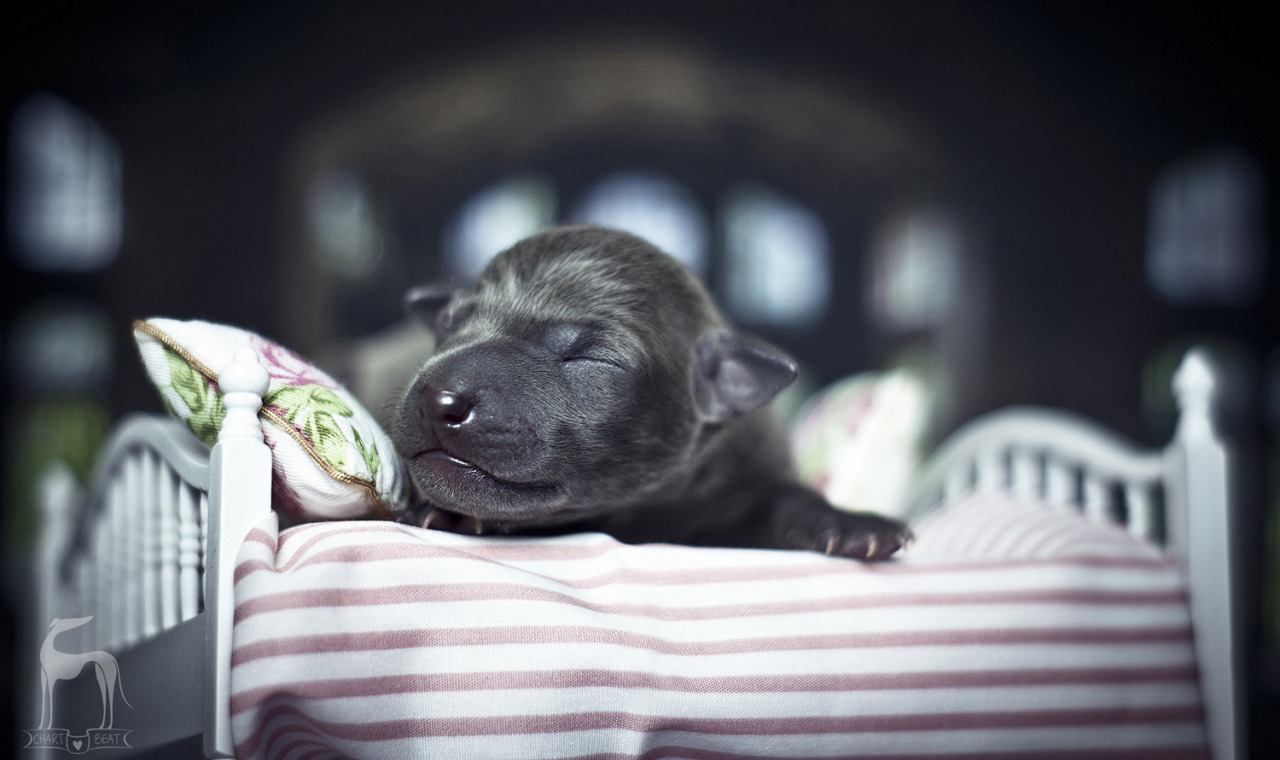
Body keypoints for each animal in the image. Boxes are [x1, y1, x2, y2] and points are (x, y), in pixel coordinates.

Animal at [389, 223, 911, 555]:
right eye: (447, 326)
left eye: (591, 359)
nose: (439, 400)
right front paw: (452, 515)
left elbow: (787, 498)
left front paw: (849, 523)